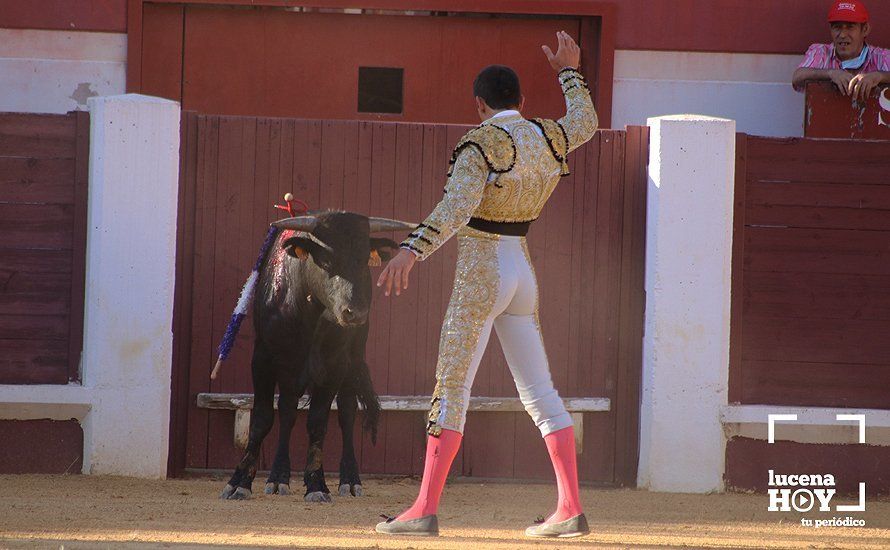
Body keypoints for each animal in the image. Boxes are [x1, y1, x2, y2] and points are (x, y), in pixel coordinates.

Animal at [222, 212, 416, 504]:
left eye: (363, 260)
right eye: (325, 261)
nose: (354, 313)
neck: (306, 310)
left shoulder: (334, 366)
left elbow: (318, 423)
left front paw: (316, 484)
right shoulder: (262, 361)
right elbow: (263, 419)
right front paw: (239, 482)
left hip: (352, 361)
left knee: (346, 413)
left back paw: (350, 481)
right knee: (288, 412)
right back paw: (278, 478)